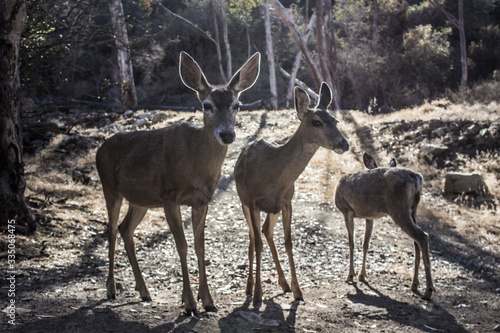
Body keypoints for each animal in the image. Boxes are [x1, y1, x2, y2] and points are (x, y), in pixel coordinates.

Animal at [96, 52, 262, 314]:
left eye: (237, 105)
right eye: (206, 105)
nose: (227, 134)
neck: (196, 165)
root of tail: (99, 149)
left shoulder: (202, 200)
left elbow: (199, 246)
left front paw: (208, 301)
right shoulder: (169, 196)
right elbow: (181, 245)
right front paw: (190, 303)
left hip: (140, 200)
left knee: (125, 228)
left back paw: (144, 291)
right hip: (109, 188)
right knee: (111, 230)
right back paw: (111, 289)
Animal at [233, 81, 348, 304]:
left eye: (335, 120)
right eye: (317, 122)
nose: (344, 143)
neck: (274, 176)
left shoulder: (287, 202)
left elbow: (288, 242)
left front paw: (297, 290)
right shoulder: (253, 201)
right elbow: (258, 244)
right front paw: (258, 294)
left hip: (273, 209)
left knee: (266, 231)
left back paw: (283, 283)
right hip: (243, 202)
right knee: (252, 237)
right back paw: (250, 287)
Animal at [334, 152, 436, 300]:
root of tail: (417, 178)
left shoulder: (347, 210)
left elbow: (351, 243)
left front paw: (350, 275)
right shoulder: (369, 217)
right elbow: (365, 244)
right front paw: (362, 275)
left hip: (398, 208)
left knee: (422, 236)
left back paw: (428, 290)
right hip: (413, 210)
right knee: (416, 241)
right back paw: (415, 284)